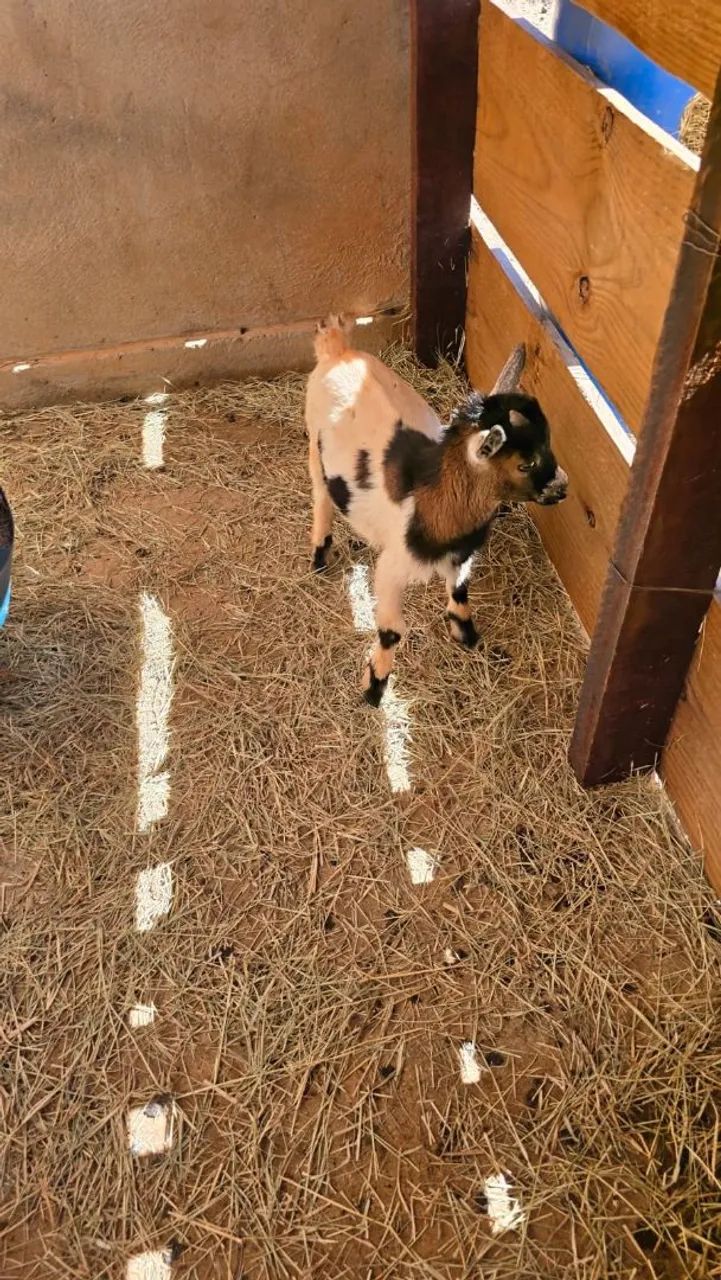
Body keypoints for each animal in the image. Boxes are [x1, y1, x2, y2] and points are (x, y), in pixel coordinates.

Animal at [305, 318, 567, 705]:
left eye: (549, 443)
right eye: (525, 464)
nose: (562, 487)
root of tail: (336, 349)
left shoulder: (461, 557)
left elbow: (459, 593)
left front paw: (468, 636)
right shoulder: (391, 571)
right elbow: (391, 631)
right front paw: (374, 687)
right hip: (314, 446)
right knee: (321, 496)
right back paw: (320, 555)